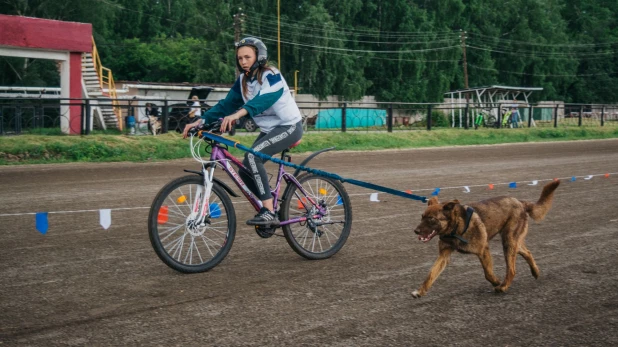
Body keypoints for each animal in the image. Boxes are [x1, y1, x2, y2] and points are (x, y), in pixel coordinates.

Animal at [410, 181, 560, 298]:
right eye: (422, 217)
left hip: (508, 242)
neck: (456, 226)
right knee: (526, 252)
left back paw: (503, 286)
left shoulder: (483, 250)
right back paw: (535, 272)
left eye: (431, 219)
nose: (416, 231)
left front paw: (497, 282)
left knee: (512, 269)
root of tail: (520, 202)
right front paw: (420, 291)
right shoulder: (444, 255)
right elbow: (431, 274)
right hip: (513, 241)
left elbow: (488, 273)